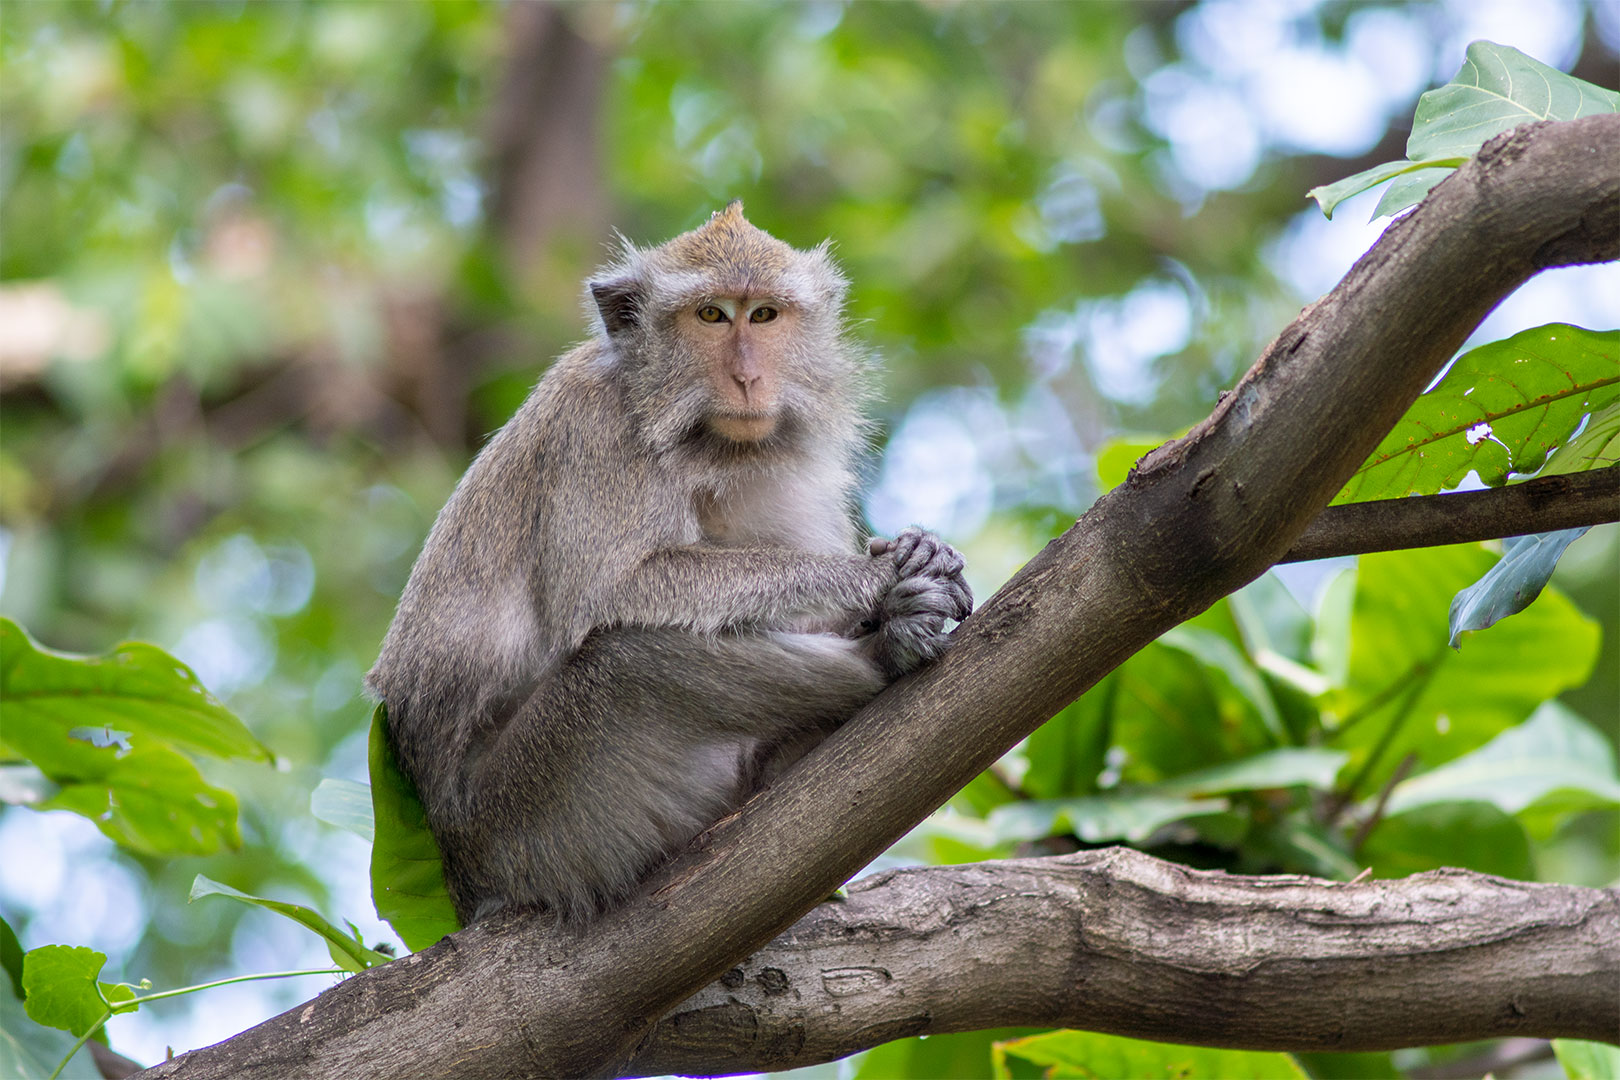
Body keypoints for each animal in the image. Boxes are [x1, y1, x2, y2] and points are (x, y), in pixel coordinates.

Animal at [366, 203, 972, 926]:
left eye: (763, 315)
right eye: (711, 316)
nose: (748, 377)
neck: (700, 441)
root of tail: (462, 873)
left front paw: (914, 563)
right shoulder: (595, 422)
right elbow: (610, 589)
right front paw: (878, 582)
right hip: (532, 814)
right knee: (627, 662)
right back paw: (883, 654)